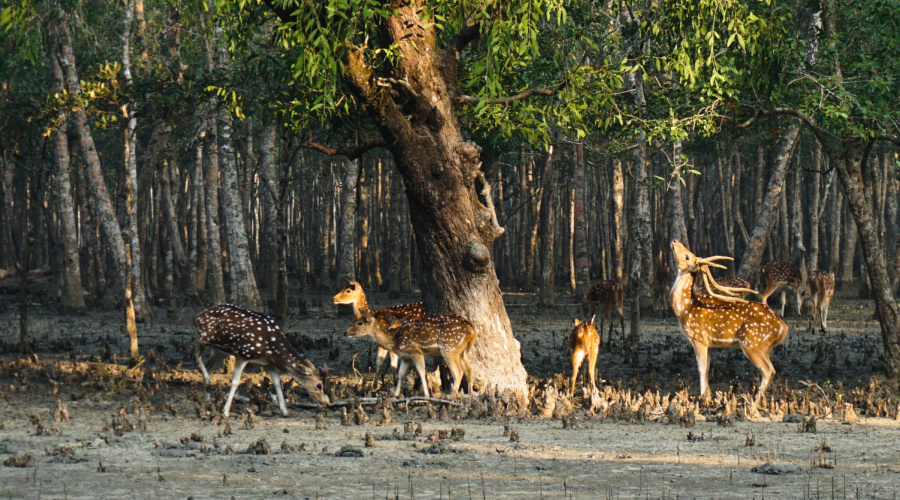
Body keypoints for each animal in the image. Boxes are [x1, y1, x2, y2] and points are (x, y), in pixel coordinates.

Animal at [193, 302, 330, 416]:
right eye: (319, 385)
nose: (326, 403)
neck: (272, 350)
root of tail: (198, 315)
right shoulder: (242, 354)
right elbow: (235, 382)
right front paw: (225, 411)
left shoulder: (268, 363)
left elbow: (277, 382)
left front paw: (285, 411)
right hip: (202, 338)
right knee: (196, 354)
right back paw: (208, 383)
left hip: (219, 350)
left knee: (208, 365)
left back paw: (206, 398)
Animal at [342, 308, 474, 398]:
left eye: (359, 323)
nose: (346, 332)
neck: (395, 341)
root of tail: (473, 329)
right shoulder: (406, 357)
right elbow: (401, 374)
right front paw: (395, 394)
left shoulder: (415, 351)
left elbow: (421, 372)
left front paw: (426, 395)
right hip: (463, 351)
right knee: (468, 369)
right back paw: (470, 393)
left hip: (449, 348)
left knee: (458, 371)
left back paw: (452, 395)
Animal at [668, 241, 788, 398]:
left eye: (687, 256)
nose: (675, 241)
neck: (685, 308)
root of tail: (783, 328)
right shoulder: (709, 343)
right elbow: (707, 369)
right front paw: (708, 396)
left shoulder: (699, 338)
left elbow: (701, 369)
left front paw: (702, 397)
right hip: (765, 347)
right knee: (772, 369)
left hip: (752, 344)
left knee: (768, 370)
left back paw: (754, 401)